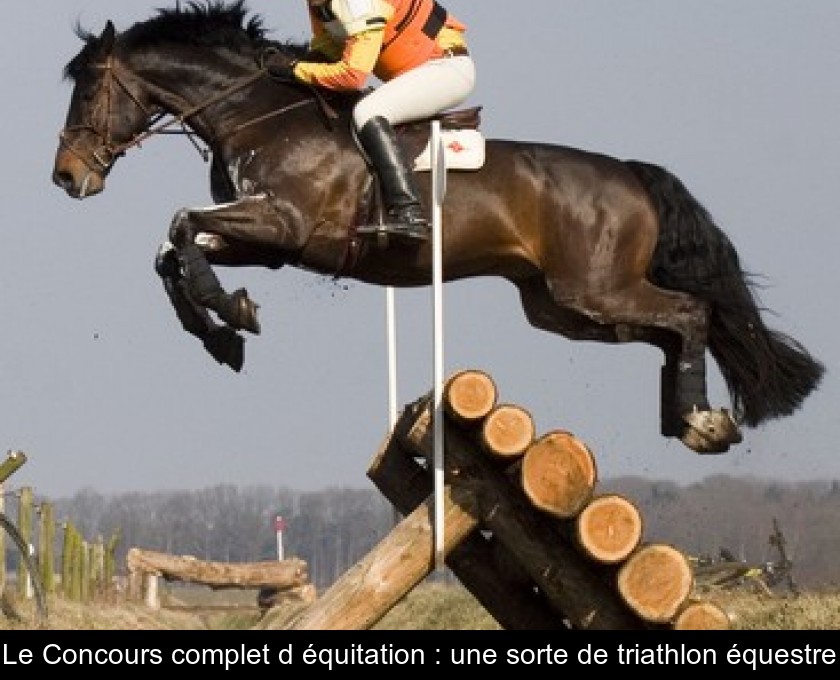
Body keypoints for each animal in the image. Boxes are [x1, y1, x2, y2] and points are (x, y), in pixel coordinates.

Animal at [49, 2, 824, 456]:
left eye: (89, 91)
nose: (66, 177)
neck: (257, 113)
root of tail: (632, 174)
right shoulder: (262, 240)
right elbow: (172, 251)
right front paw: (220, 330)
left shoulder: (284, 224)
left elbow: (178, 227)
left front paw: (230, 319)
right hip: (564, 307)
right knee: (670, 329)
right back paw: (686, 417)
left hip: (592, 289)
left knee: (690, 313)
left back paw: (702, 422)